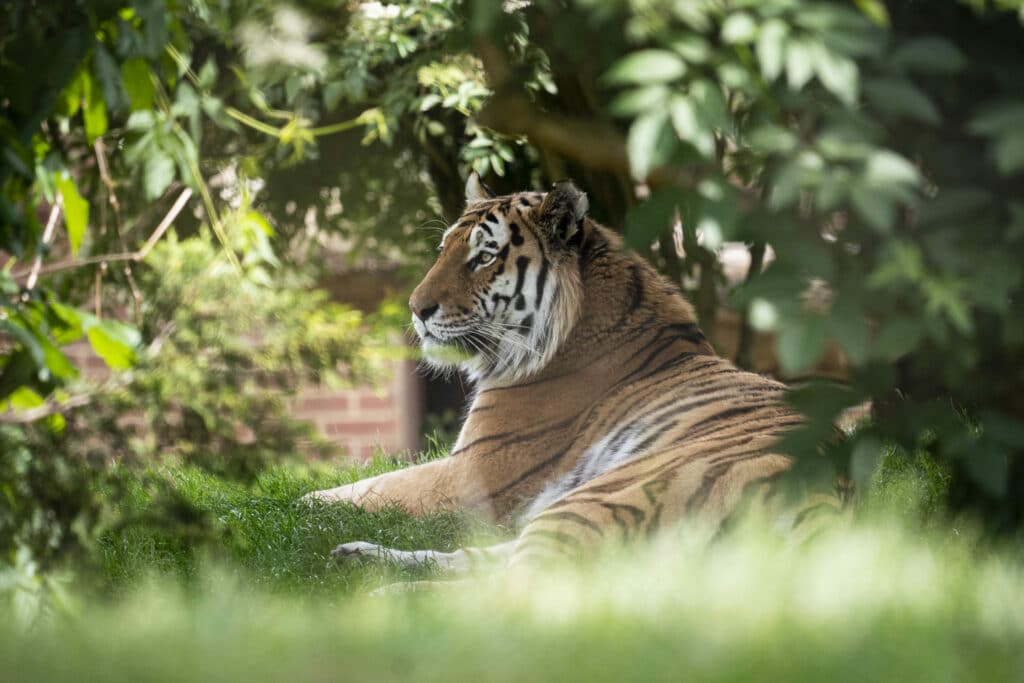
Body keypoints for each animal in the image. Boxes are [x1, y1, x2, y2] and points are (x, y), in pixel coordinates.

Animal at [305, 175, 839, 573]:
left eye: (484, 257)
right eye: (444, 249)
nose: (416, 310)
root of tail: (826, 501)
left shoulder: (469, 473)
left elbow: (359, 491)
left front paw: (297, 502)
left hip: (599, 499)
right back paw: (359, 558)